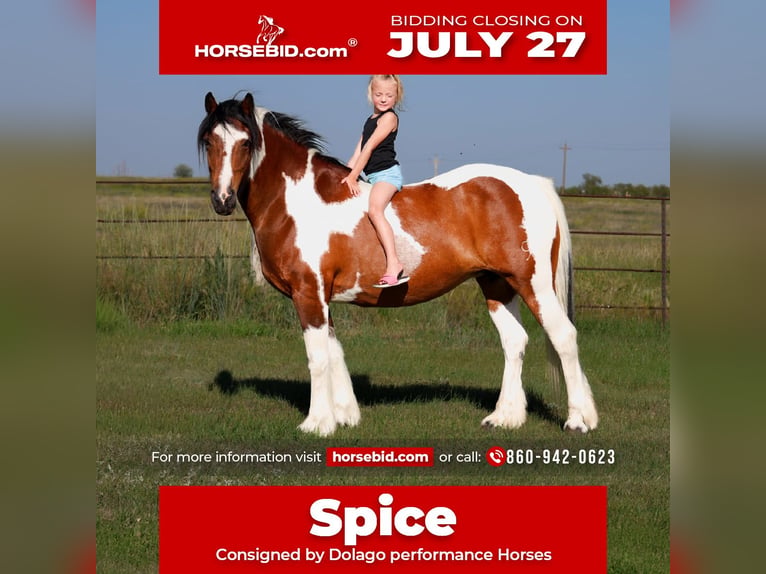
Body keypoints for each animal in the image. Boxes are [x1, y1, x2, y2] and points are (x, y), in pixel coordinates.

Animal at [197, 92, 598, 436]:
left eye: (245, 143)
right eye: (210, 143)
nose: (222, 199)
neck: (299, 200)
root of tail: (532, 183)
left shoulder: (308, 293)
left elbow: (318, 357)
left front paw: (317, 423)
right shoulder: (323, 298)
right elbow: (335, 350)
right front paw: (345, 415)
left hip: (533, 283)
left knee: (563, 336)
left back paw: (579, 420)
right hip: (496, 283)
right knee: (515, 341)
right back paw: (505, 417)